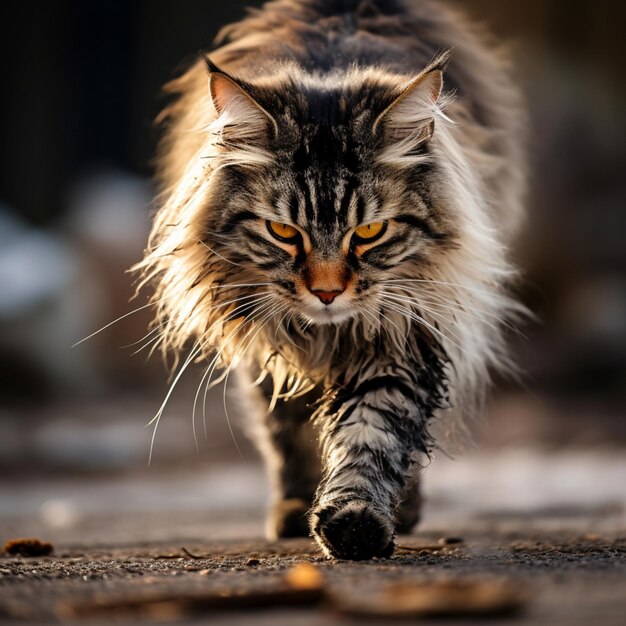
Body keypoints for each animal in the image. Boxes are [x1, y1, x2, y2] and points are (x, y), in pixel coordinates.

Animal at [133, 0, 528, 556]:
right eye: (283, 231)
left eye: (369, 231)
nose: (326, 292)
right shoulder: (265, 337)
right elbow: (289, 425)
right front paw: (303, 508)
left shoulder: (403, 334)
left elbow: (371, 431)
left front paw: (356, 521)